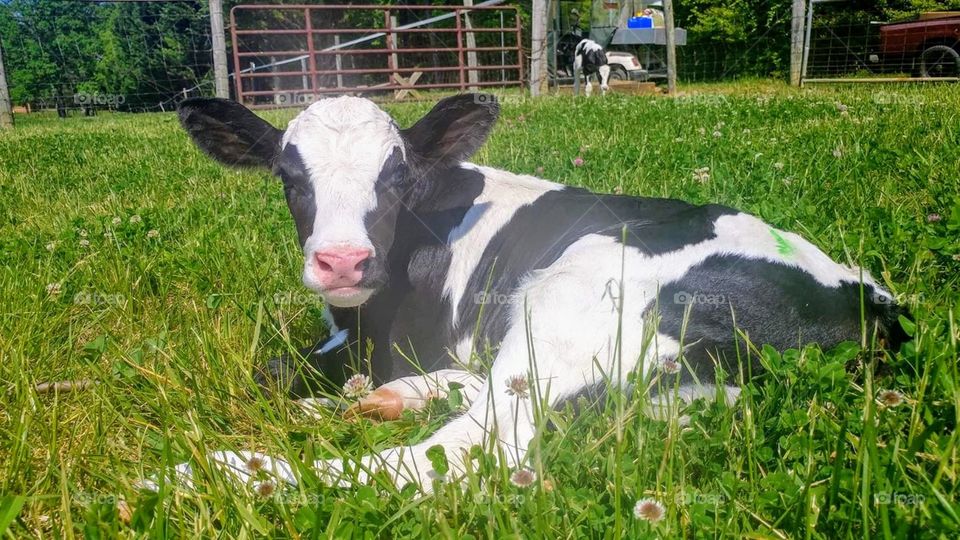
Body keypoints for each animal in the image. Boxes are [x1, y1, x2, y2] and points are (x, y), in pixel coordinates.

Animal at [166, 93, 907, 493]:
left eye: (396, 178)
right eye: (289, 178)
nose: (342, 262)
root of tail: (871, 309)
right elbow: (280, 371)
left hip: (578, 292)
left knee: (467, 448)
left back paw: (213, 473)